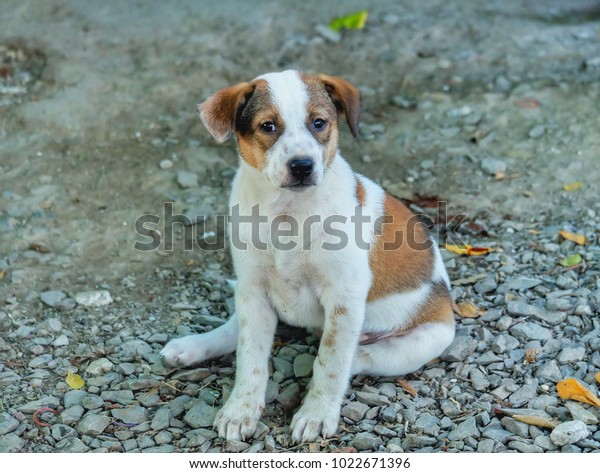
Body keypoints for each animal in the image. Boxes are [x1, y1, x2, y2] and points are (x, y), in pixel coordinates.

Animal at [161, 69, 454, 442]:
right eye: (268, 126)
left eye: (318, 123)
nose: (302, 166)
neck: (288, 212)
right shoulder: (254, 288)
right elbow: (250, 358)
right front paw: (240, 409)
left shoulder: (344, 299)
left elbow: (329, 364)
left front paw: (316, 415)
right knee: (236, 333)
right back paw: (192, 346)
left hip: (418, 342)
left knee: (353, 358)